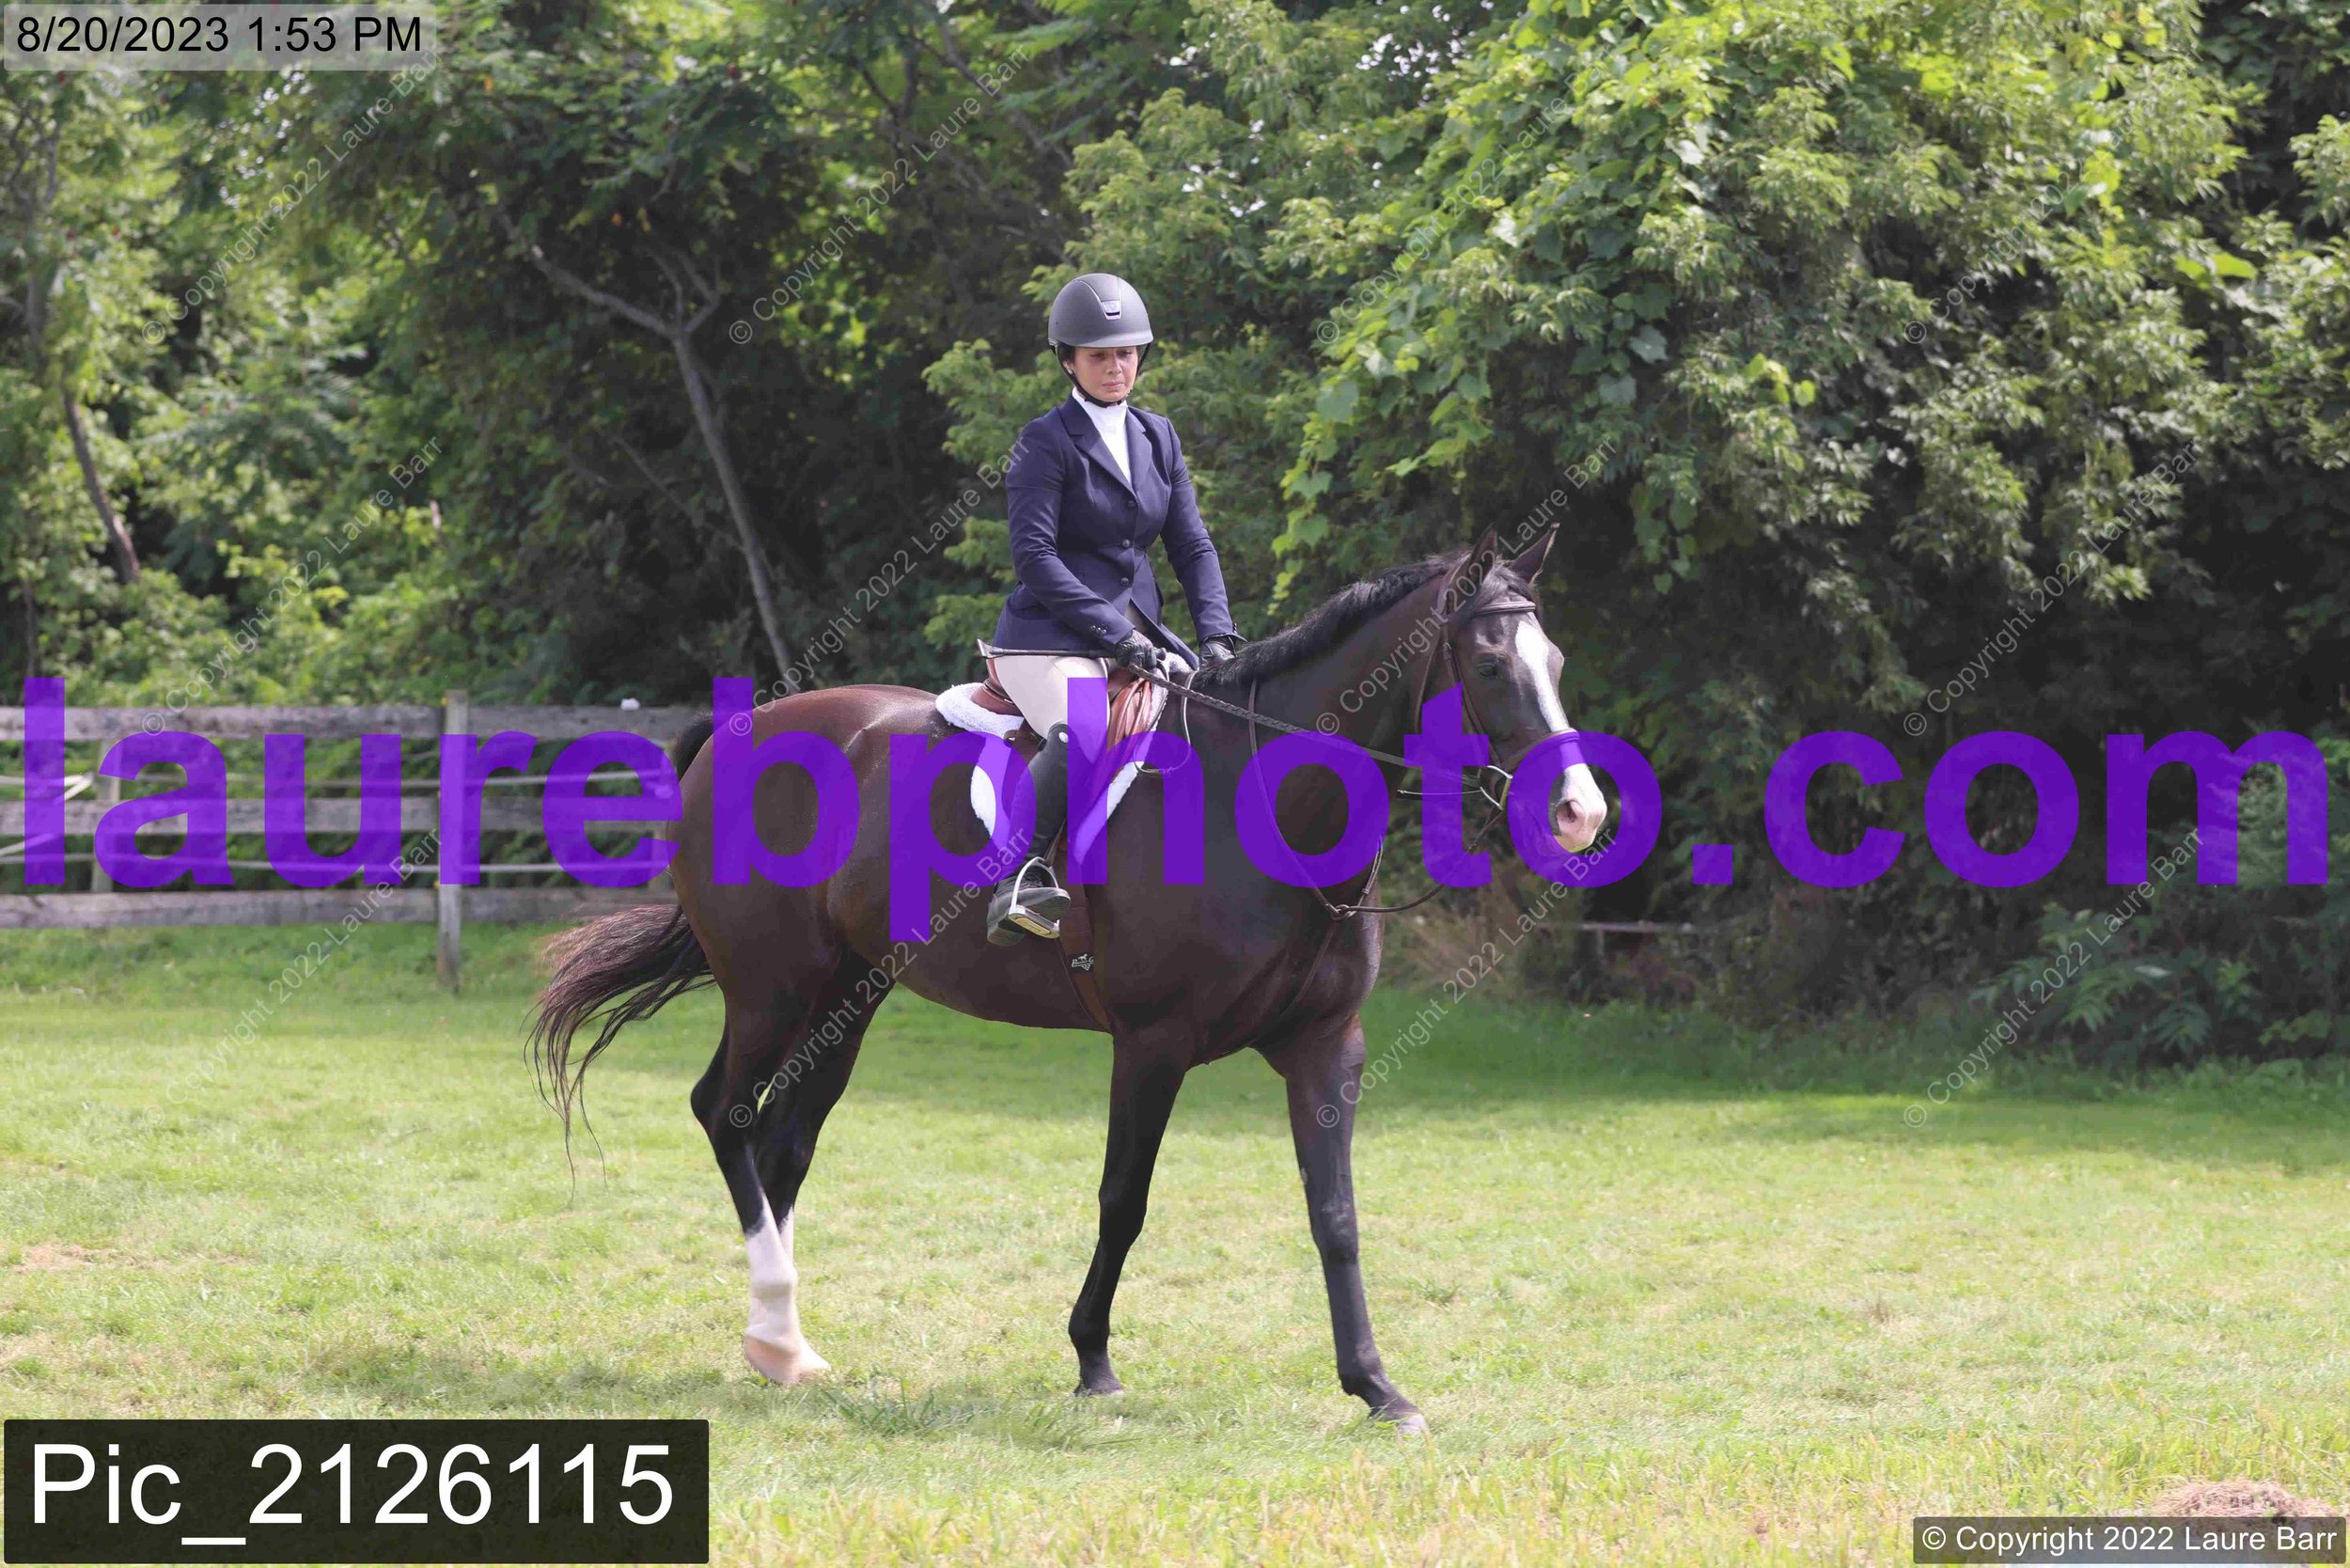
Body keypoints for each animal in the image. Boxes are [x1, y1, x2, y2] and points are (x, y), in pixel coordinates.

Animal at [528, 523, 1608, 1432]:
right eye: (1486, 665)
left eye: (1556, 663)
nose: (1580, 814)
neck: (1264, 808)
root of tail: (733, 733)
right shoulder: (1154, 1043)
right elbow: (1123, 1201)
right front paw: (1093, 1363)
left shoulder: (1323, 1044)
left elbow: (1334, 1215)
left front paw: (1378, 1388)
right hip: (771, 990)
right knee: (726, 1113)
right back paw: (778, 1333)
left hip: (849, 994)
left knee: (783, 1141)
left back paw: (779, 1345)